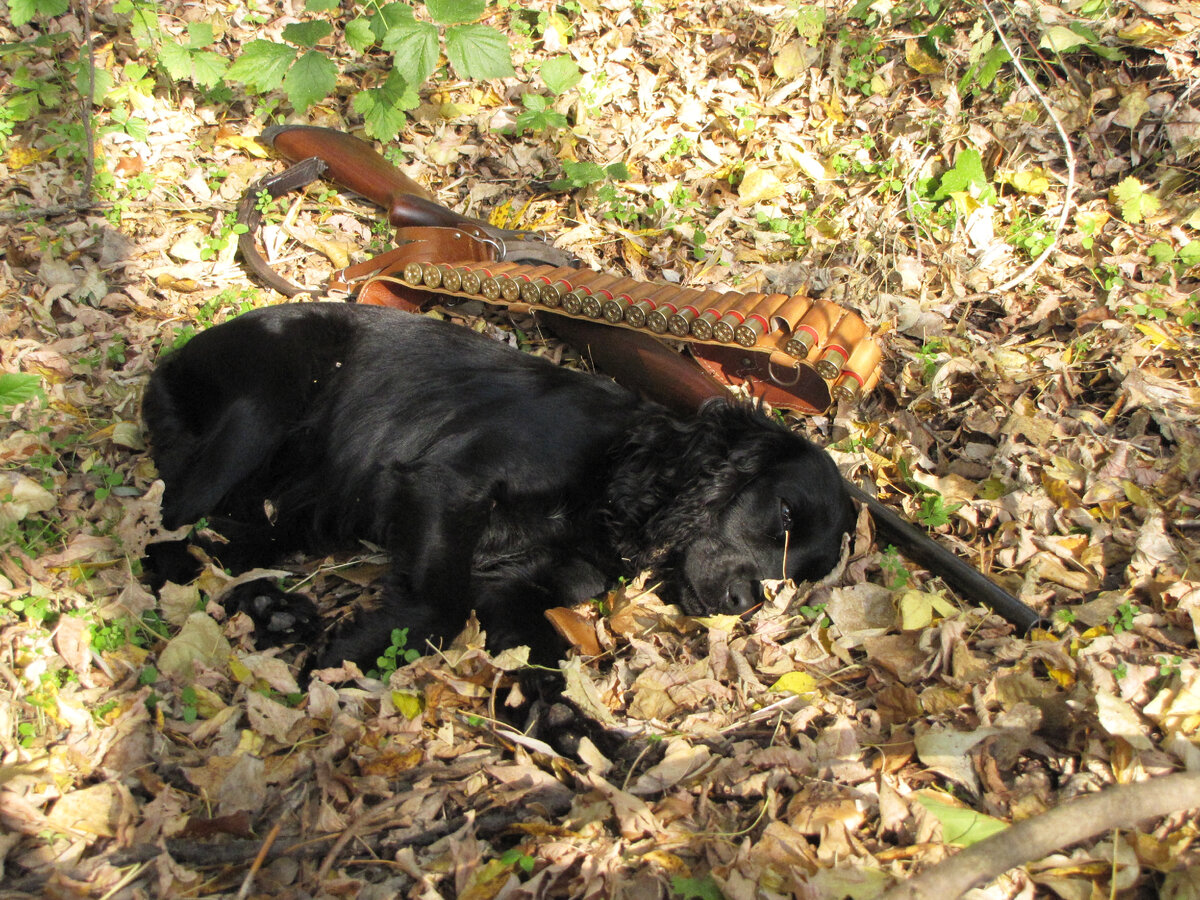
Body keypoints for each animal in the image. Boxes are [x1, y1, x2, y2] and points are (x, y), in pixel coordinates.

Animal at [142, 304, 854, 672]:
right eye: (782, 513)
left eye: (793, 577)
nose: (742, 601)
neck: (619, 470)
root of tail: (168, 362)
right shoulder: (450, 482)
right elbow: (442, 605)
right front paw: (342, 661)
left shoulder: (519, 586)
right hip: (263, 406)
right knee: (167, 527)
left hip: (301, 511)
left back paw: (271, 608)